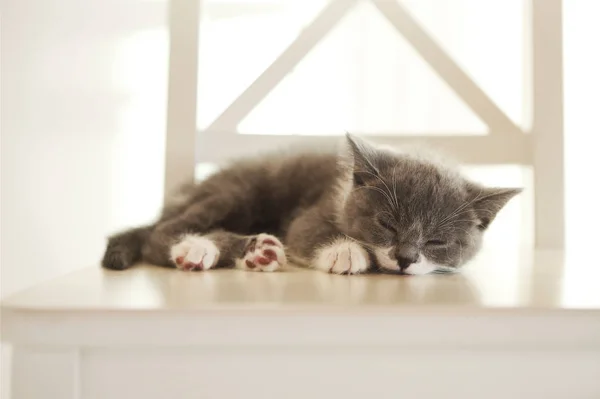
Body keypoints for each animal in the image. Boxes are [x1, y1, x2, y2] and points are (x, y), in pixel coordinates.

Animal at [102, 134, 520, 276]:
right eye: (387, 224)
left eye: (437, 241)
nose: (405, 258)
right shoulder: (314, 209)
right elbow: (307, 230)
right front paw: (346, 252)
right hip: (237, 190)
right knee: (158, 234)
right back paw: (196, 248)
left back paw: (257, 253)